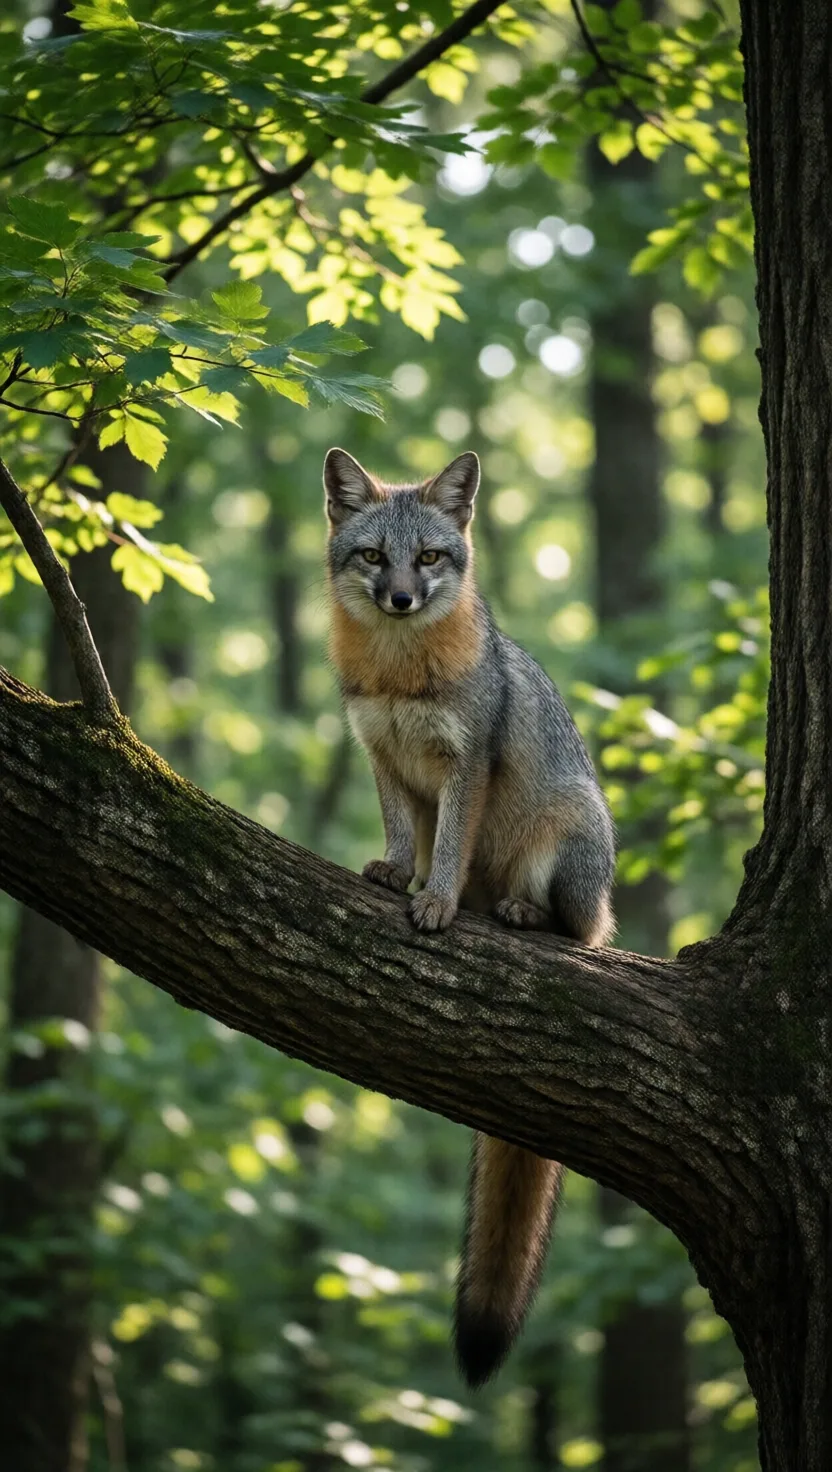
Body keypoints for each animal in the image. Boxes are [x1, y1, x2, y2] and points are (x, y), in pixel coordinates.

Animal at [323, 445, 616, 1387]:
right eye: (375, 557)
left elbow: (449, 849)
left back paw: (519, 914)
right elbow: (402, 832)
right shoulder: (383, 754)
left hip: (568, 843)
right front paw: (395, 873)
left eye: (430, 557)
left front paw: (438, 903)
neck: (398, 668)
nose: (401, 598)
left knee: (579, 935)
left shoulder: (466, 765)